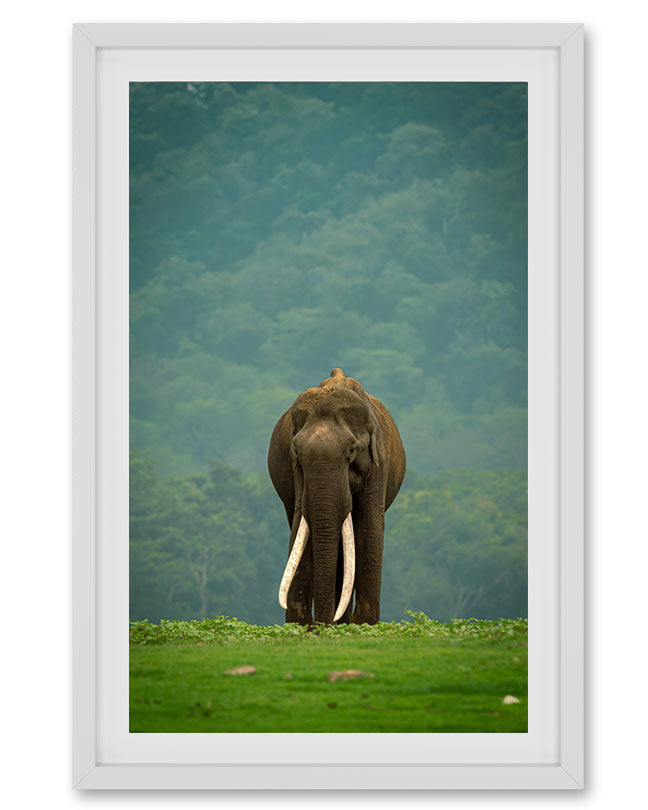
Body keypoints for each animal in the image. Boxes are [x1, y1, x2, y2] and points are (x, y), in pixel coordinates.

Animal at [268, 368, 406, 625]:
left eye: (351, 451)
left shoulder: (379, 463)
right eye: (297, 452)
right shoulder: (296, 472)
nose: (323, 626)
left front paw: (363, 627)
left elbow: (370, 530)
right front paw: (300, 627)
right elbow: (301, 528)